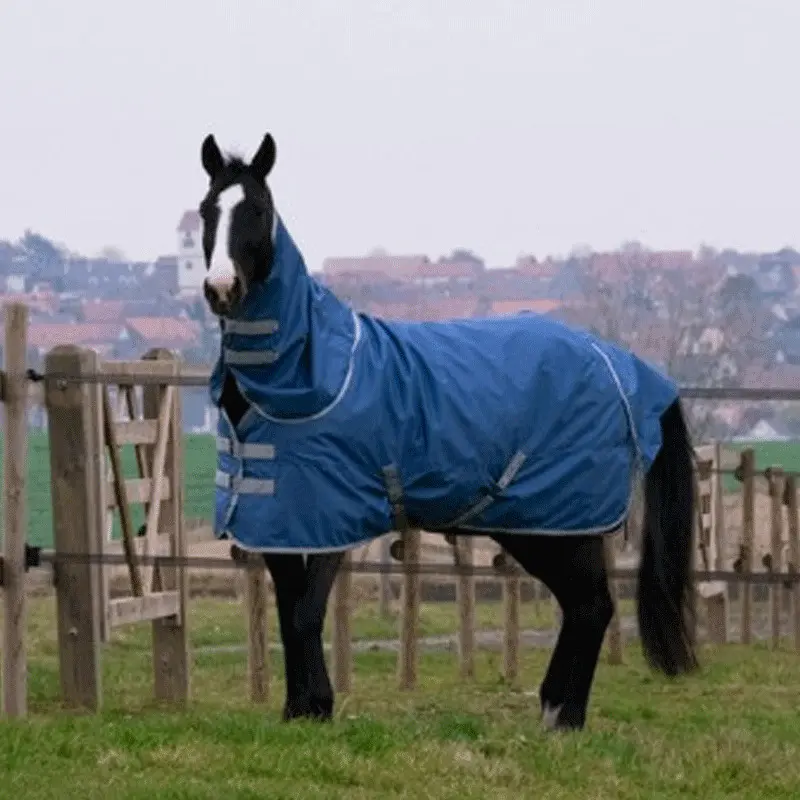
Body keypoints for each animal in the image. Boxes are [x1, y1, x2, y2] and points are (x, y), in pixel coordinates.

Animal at [198, 131, 699, 732]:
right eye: (206, 211)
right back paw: (553, 710)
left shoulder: (328, 520)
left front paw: (317, 708)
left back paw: (564, 717)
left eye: (258, 210)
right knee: (583, 606)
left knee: (594, 606)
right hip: (532, 526)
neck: (308, 374)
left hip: (563, 522)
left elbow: (304, 615)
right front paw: (299, 711)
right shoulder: (277, 520)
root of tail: (626, 366)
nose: (221, 288)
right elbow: (288, 612)